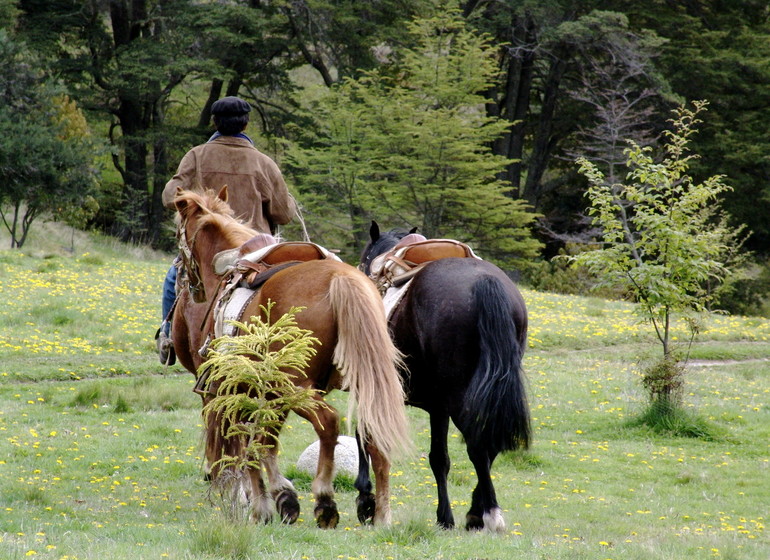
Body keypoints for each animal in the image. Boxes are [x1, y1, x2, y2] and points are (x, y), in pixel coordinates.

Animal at [168, 190, 408, 528]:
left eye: (178, 235)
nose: (191, 286)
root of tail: (340, 278)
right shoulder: (268, 396)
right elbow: (264, 441)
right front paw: (279, 498)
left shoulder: (232, 392)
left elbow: (246, 445)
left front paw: (260, 502)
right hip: (360, 383)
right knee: (373, 432)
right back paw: (382, 514)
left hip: (295, 387)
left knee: (328, 422)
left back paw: (325, 499)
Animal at [358, 221, 528, 532]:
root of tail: (485, 282)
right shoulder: (438, 408)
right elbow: (440, 458)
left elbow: (367, 436)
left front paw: (366, 501)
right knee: (489, 443)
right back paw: (477, 512)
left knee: (478, 445)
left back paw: (490, 513)